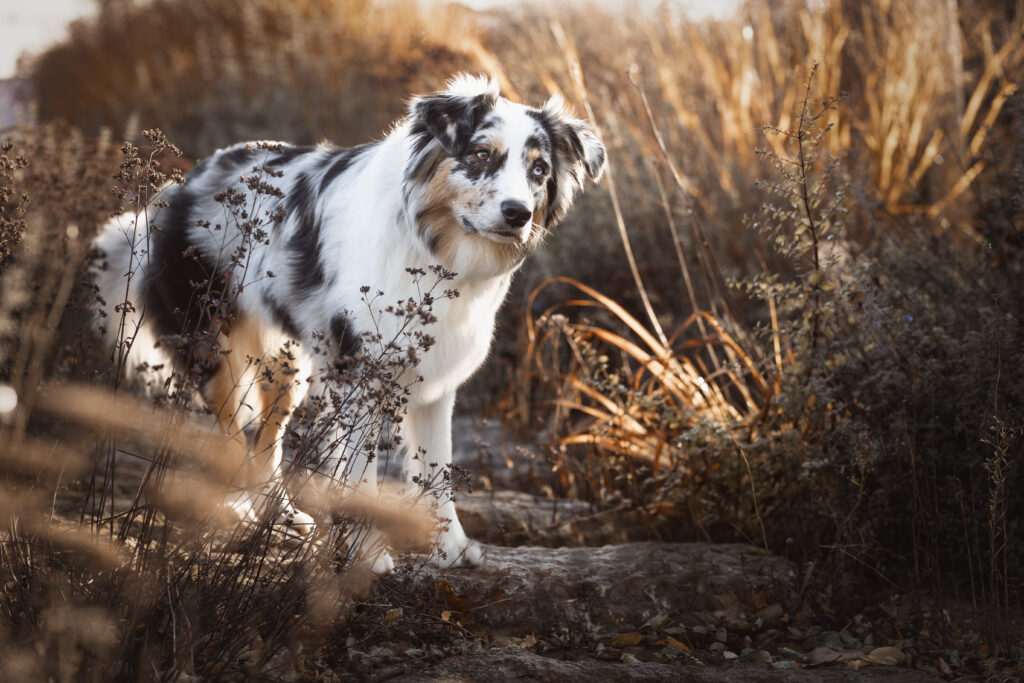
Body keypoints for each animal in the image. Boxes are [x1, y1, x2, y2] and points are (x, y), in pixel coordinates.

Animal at [90, 74, 606, 573]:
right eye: (481, 154)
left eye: (538, 170)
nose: (518, 214)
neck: (434, 251)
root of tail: (173, 190)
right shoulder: (359, 375)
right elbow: (361, 475)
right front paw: (367, 555)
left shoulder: (436, 384)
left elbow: (438, 473)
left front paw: (452, 550)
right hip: (214, 349)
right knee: (233, 434)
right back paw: (241, 514)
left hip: (289, 365)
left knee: (268, 443)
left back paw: (282, 517)